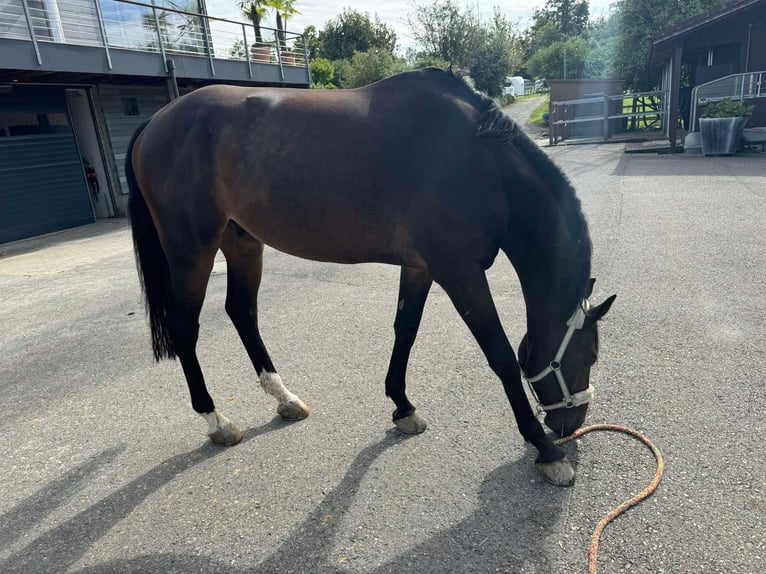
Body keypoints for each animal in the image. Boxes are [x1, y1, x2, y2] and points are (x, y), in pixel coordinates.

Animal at [126, 70, 616, 488]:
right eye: (588, 355)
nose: (572, 425)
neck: (476, 160)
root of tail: (156, 121)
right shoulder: (459, 269)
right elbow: (500, 354)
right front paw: (545, 449)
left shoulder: (421, 266)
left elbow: (406, 329)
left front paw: (402, 407)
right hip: (191, 250)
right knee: (186, 329)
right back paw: (217, 421)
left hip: (242, 241)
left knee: (241, 312)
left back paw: (284, 398)